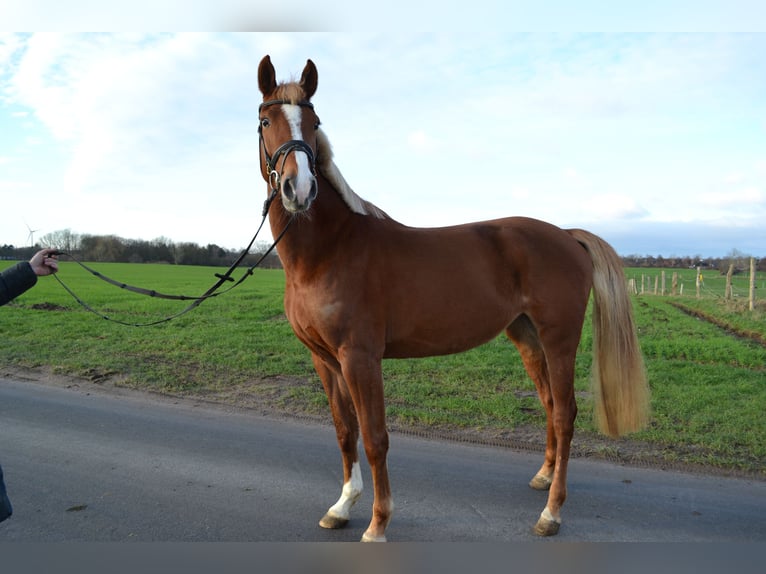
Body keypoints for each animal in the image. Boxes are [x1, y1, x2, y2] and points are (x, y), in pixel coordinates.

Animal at [256, 56, 648, 544]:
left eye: (314, 123)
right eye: (266, 121)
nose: (300, 189)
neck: (329, 250)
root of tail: (567, 236)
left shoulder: (360, 358)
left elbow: (376, 437)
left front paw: (378, 522)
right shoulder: (324, 359)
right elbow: (345, 432)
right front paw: (343, 506)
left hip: (560, 340)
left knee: (565, 414)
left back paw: (552, 513)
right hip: (527, 336)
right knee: (549, 404)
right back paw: (543, 477)